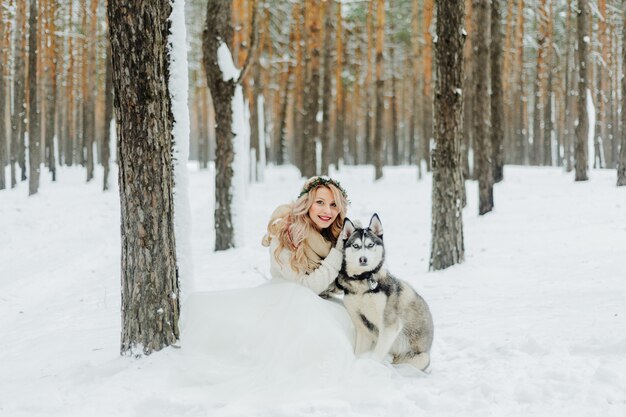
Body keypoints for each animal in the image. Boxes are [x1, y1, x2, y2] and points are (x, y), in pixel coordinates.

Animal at [326, 214, 434, 370]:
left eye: (370, 245)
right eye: (356, 246)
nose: (363, 259)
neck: (363, 288)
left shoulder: (390, 326)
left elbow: (376, 356)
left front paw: (370, 369)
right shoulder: (362, 326)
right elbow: (358, 353)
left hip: (422, 358)